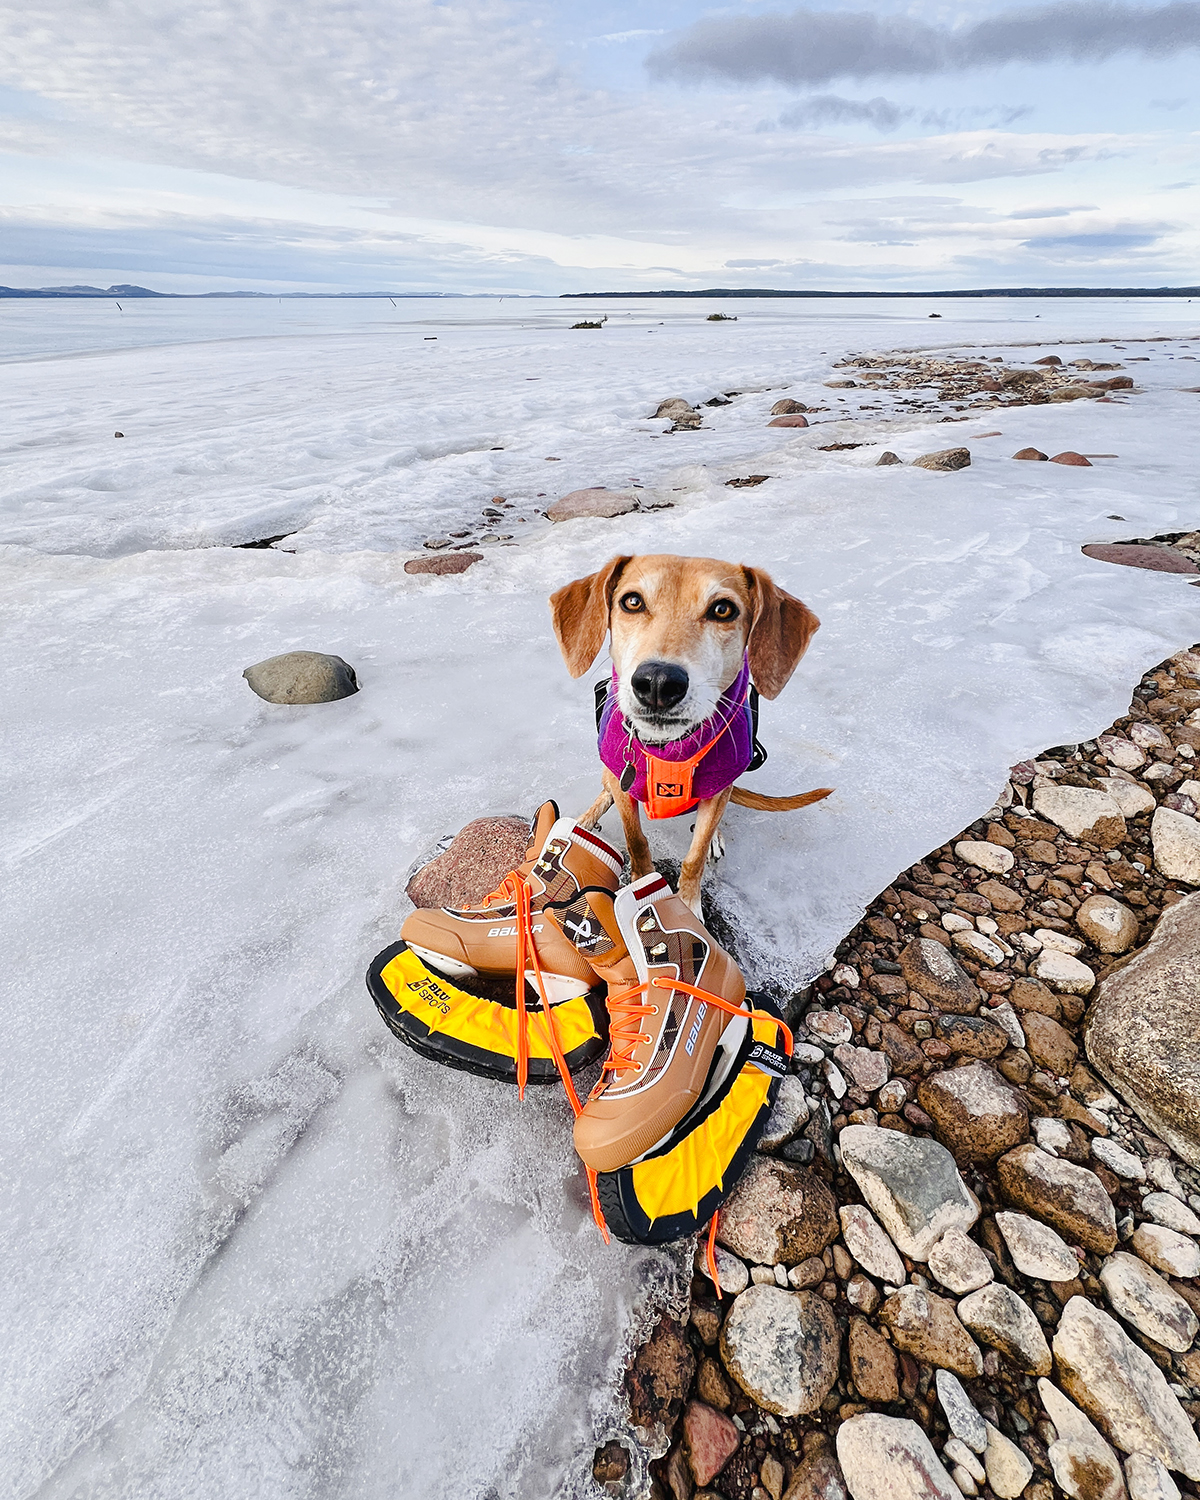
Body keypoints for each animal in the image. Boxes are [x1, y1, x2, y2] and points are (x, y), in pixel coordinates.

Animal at [549, 555, 828, 912]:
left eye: (723, 609)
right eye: (632, 601)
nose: (658, 682)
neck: (667, 748)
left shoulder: (717, 788)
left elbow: (694, 856)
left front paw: (689, 904)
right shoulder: (624, 785)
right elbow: (636, 841)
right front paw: (643, 885)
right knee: (606, 790)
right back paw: (584, 820)